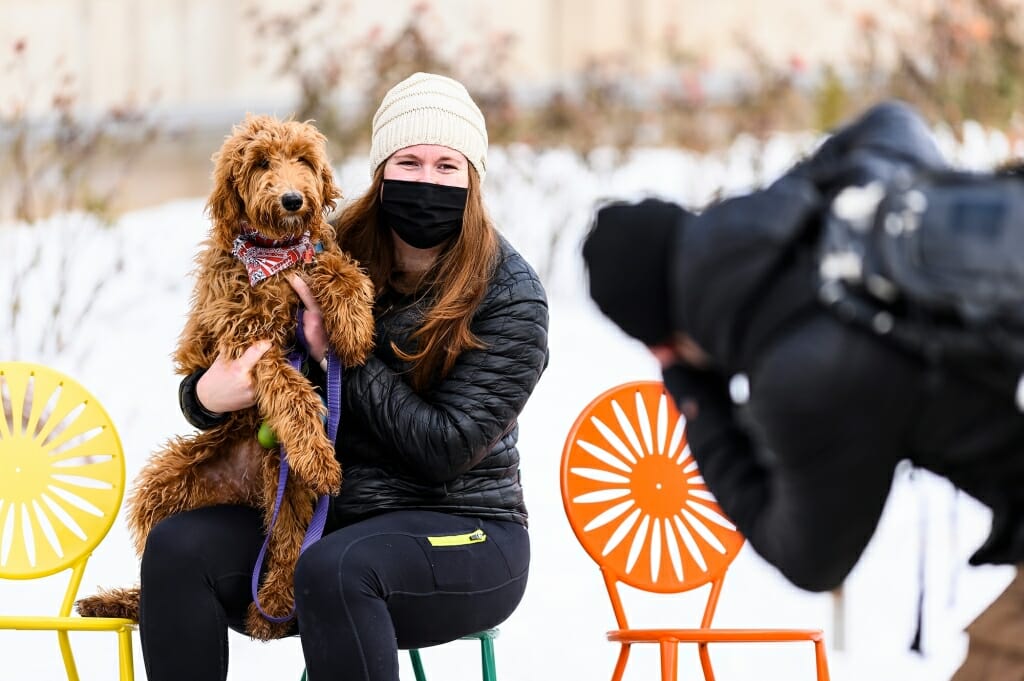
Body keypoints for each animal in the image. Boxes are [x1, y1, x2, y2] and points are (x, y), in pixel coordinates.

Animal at [75, 114, 374, 639]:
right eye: (260, 163)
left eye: (303, 160)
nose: (293, 200)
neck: (273, 258)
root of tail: (242, 487)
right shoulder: (244, 341)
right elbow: (290, 387)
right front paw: (319, 454)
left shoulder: (312, 256)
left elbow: (340, 267)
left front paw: (354, 324)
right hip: (165, 484)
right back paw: (124, 601)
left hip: (283, 477)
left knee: (287, 539)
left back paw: (271, 607)